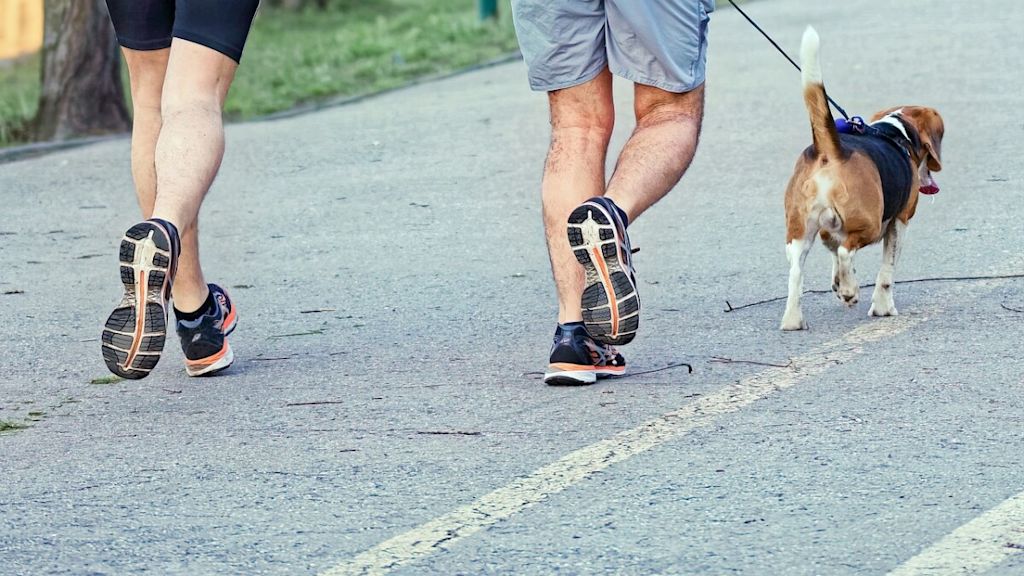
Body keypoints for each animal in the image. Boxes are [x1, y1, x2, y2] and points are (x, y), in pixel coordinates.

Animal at [782, 26, 942, 330]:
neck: (894, 132)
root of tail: (830, 150)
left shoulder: (826, 230)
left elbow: (833, 249)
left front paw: (839, 283)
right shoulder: (899, 222)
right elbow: (886, 272)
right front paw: (882, 308)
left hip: (799, 231)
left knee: (797, 272)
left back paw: (794, 319)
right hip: (870, 223)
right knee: (847, 251)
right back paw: (849, 291)